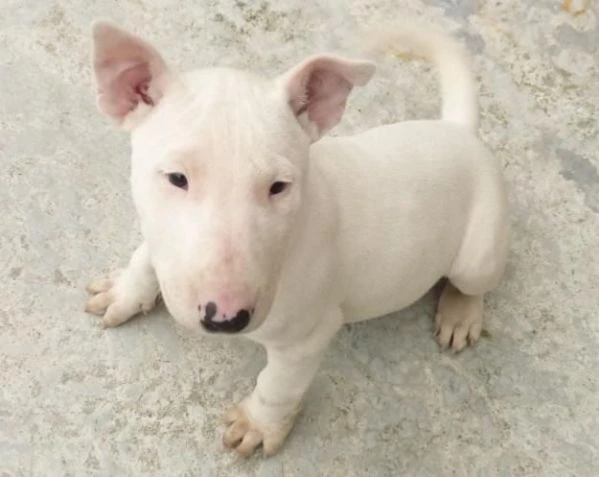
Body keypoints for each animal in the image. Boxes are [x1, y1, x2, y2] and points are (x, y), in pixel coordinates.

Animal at [85, 20, 510, 456]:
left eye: (278, 187)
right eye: (176, 178)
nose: (226, 319)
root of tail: (459, 131)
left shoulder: (309, 334)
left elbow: (279, 385)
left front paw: (258, 425)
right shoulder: (160, 234)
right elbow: (146, 256)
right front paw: (125, 292)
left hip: (479, 250)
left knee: (476, 282)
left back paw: (460, 313)